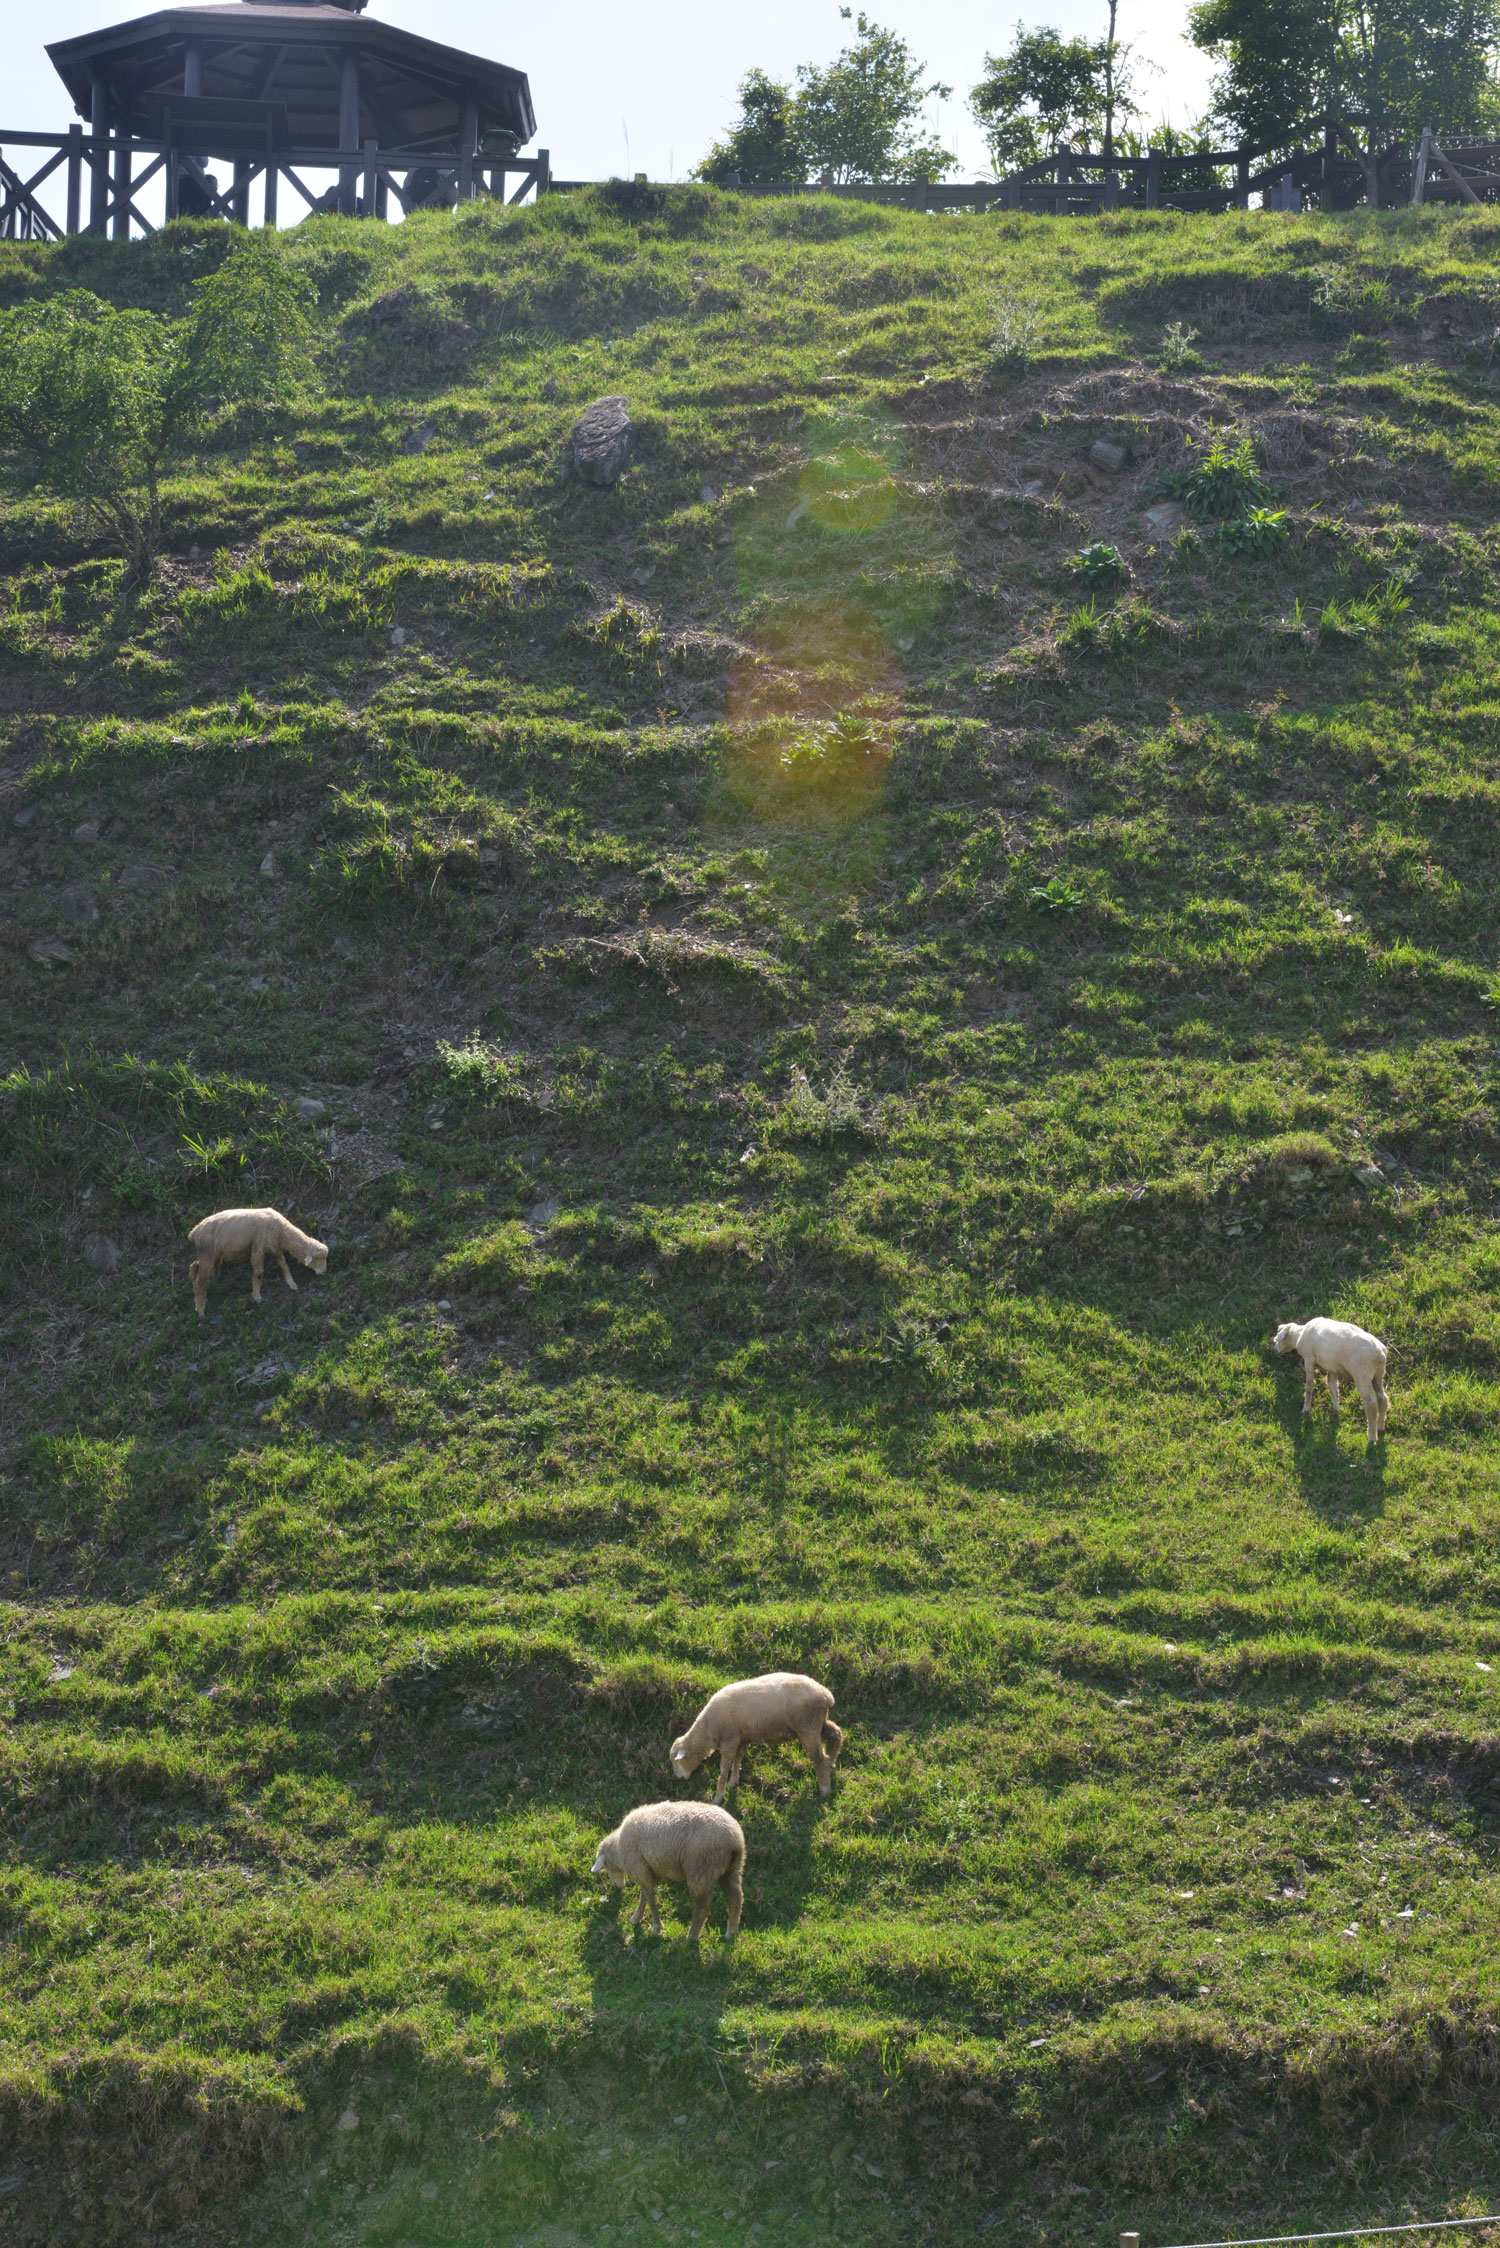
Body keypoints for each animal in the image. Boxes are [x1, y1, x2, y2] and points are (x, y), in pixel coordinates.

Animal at [187, 1213, 328, 1312]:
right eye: (317, 1259)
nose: (323, 1272)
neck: (281, 1230)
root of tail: (194, 1232)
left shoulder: (274, 1247)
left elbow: (284, 1264)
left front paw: (291, 1283)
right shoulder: (258, 1248)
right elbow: (259, 1272)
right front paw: (257, 1296)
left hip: (209, 1256)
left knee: (194, 1268)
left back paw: (198, 1301)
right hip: (207, 1254)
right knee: (200, 1280)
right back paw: (201, 1310)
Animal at [593, 1798, 746, 1942]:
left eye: (606, 1866)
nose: (617, 1886)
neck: (619, 1848)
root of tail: (733, 1840)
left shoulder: (639, 1868)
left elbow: (650, 1899)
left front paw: (656, 1927)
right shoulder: (650, 1870)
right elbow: (645, 1895)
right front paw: (636, 1918)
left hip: (701, 1869)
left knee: (704, 1905)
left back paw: (692, 1936)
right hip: (732, 1869)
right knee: (736, 1898)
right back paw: (731, 1932)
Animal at [670, 1672, 845, 1807]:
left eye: (676, 1761)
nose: (677, 1778)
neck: (708, 1729)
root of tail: (826, 1695)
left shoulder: (729, 1740)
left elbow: (724, 1768)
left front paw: (718, 1797)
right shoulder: (741, 1738)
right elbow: (738, 1759)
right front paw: (734, 1781)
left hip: (808, 1725)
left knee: (819, 1758)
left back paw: (825, 1788)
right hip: (818, 1721)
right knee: (836, 1733)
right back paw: (832, 1761)